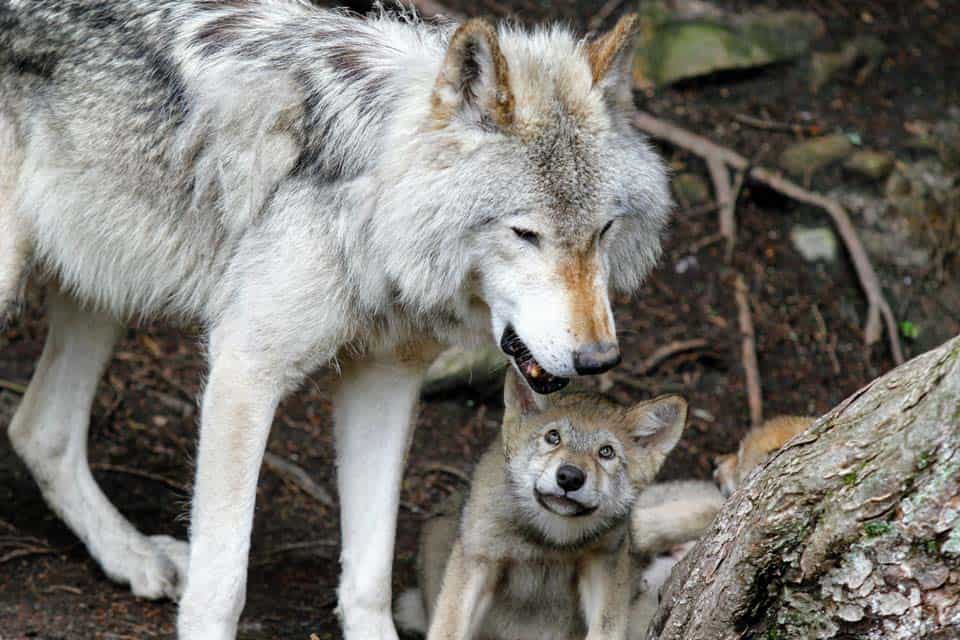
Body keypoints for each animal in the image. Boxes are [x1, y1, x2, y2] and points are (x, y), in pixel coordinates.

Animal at [0, 2, 668, 636]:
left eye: (603, 231)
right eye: (525, 234)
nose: (599, 359)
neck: (370, 205)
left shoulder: (386, 379)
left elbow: (369, 575)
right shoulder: (244, 370)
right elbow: (222, 587)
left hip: (102, 286)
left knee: (39, 430)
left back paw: (132, 555)